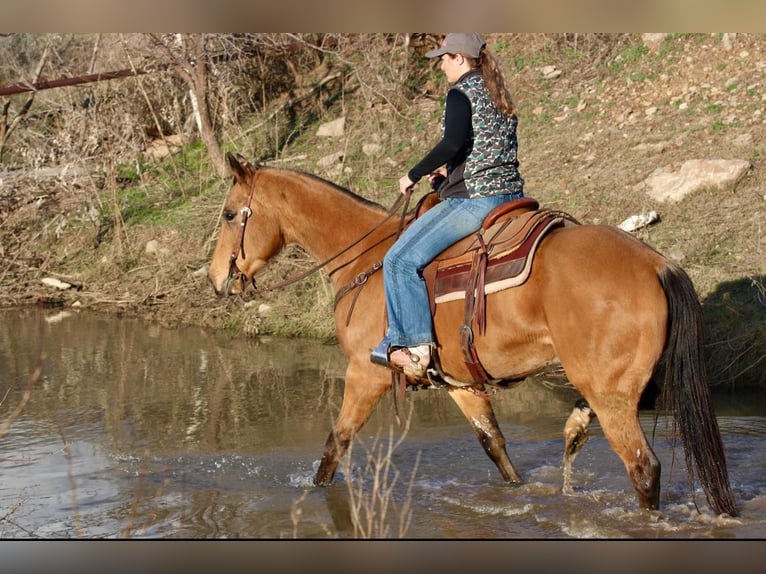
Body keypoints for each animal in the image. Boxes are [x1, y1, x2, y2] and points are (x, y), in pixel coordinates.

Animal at [207, 152, 740, 516]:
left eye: (231, 214)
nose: (216, 280)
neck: (368, 261)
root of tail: (656, 263)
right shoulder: (460, 384)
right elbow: (496, 448)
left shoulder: (365, 373)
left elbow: (333, 446)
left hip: (613, 399)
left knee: (643, 469)